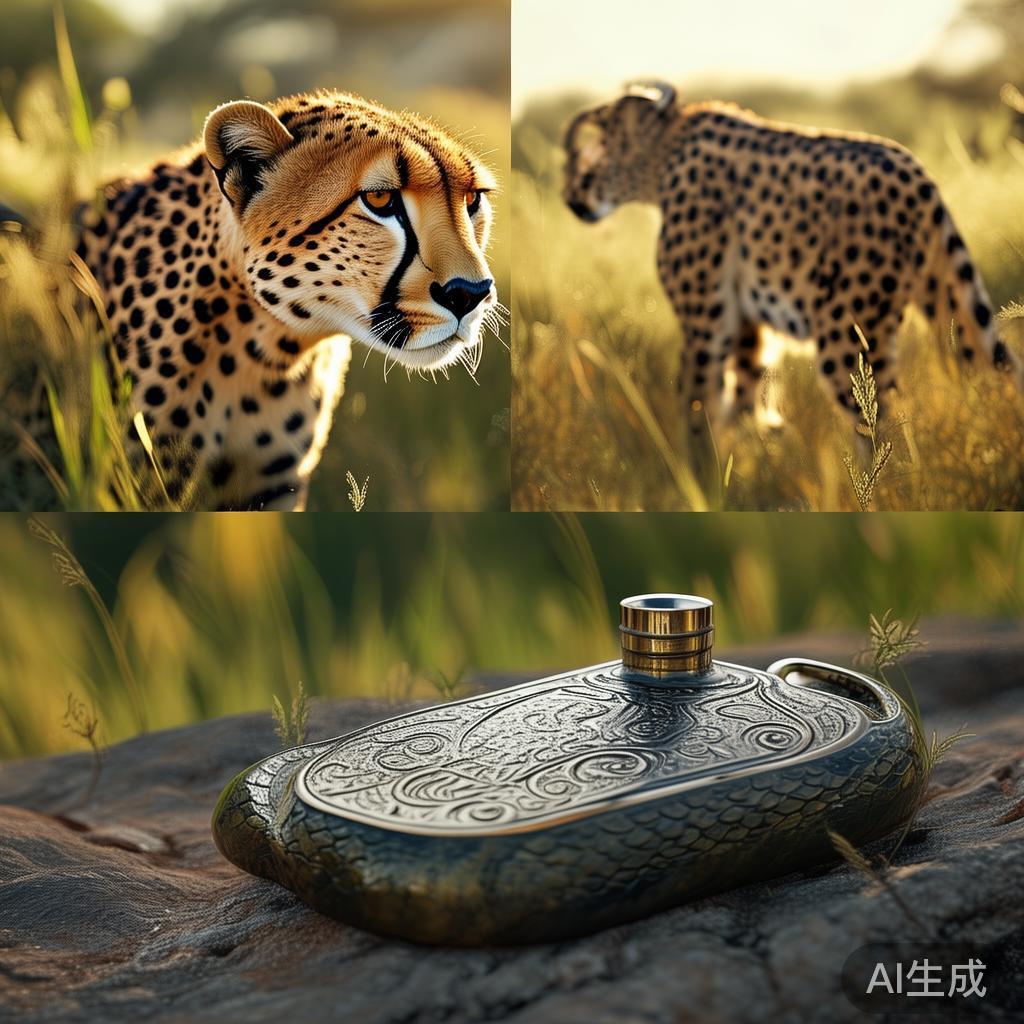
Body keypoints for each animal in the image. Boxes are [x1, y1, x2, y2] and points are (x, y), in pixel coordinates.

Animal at [563, 81, 1020, 447]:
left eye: (580, 152)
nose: (568, 197)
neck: (663, 155)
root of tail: (918, 174)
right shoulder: (746, 327)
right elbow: (740, 402)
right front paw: (740, 467)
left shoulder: (706, 325)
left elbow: (697, 405)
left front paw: (697, 480)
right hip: (944, 302)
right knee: (993, 379)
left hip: (846, 334)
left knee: (880, 421)